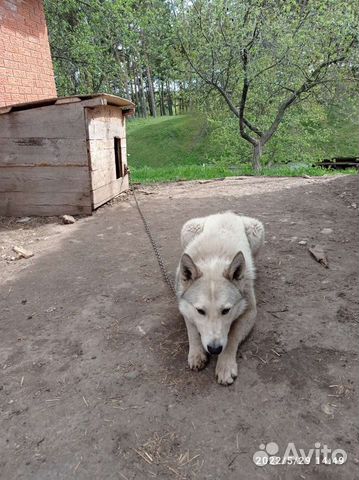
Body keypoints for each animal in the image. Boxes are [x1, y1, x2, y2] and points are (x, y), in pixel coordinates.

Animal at [176, 212, 266, 384]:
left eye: (226, 311)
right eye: (200, 311)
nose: (214, 349)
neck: (213, 261)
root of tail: (227, 213)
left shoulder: (250, 312)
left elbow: (231, 337)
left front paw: (225, 366)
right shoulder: (184, 306)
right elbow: (192, 331)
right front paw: (196, 353)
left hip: (257, 230)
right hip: (187, 229)